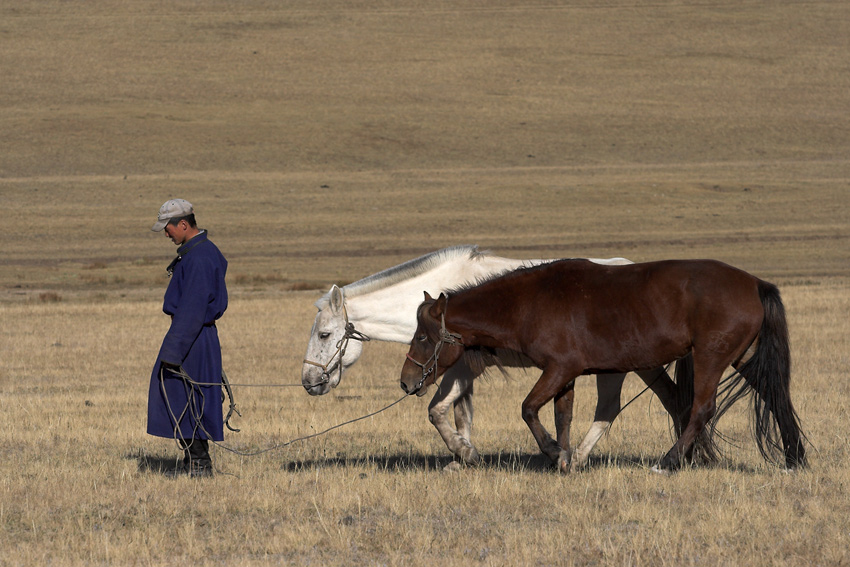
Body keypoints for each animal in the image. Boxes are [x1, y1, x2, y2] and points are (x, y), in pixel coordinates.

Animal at [300, 244, 684, 470]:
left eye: (324, 334)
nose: (309, 381)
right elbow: (459, 413)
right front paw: (462, 456)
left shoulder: (463, 367)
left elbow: (438, 410)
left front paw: (464, 453)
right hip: (645, 365)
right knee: (670, 397)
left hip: (613, 369)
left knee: (609, 407)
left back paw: (576, 458)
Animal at [400, 260, 804, 472]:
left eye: (421, 336)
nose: (406, 381)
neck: (529, 303)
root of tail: (755, 284)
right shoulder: (565, 375)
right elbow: (562, 415)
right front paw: (564, 458)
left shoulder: (559, 369)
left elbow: (529, 409)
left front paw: (554, 452)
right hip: (741, 358)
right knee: (774, 396)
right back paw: (794, 457)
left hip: (711, 357)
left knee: (701, 408)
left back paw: (668, 461)